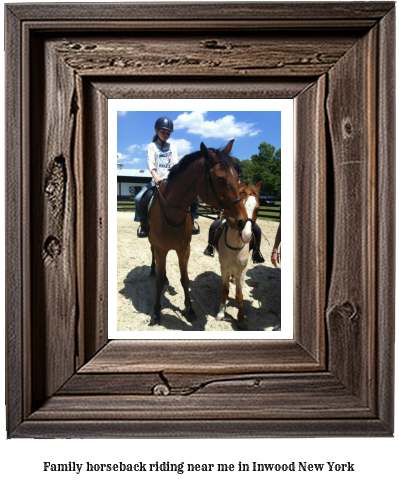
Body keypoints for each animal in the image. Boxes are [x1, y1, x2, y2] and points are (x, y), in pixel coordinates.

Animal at [148, 139, 247, 326]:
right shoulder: (160, 249)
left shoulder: (184, 249)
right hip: (153, 243)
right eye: (220, 179)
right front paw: (156, 313)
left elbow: (185, 279)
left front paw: (190, 310)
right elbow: (158, 282)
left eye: (237, 177)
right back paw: (152, 270)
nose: (242, 220)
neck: (172, 212)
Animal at [216, 181, 262, 330]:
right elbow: (224, 290)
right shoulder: (224, 268)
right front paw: (221, 313)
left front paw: (241, 320)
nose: (246, 236)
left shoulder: (242, 271)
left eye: (257, 209)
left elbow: (239, 296)